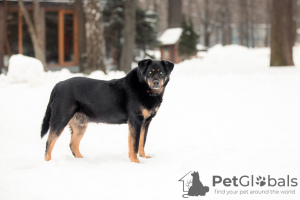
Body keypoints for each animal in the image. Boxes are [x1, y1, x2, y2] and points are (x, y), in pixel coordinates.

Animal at [41, 58, 175, 163]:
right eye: (149, 72)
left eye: (161, 72)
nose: (156, 82)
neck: (145, 89)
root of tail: (58, 85)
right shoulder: (135, 120)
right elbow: (134, 144)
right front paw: (136, 162)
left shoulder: (146, 122)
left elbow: (142, 142)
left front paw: (144, 157)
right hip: (60, 119)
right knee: (49, 142)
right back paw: (49, 162)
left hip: (80, 124)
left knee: (73, 145)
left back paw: (82, 161)